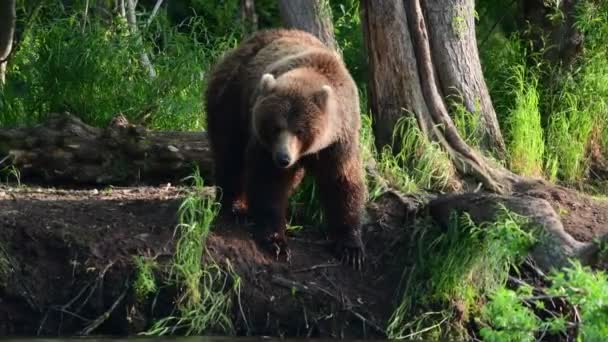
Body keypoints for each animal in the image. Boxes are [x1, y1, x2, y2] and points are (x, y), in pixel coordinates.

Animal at [204, 28, 366, 266]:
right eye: (275, 127)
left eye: (300, 130)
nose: (283, 158)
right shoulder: (264, 144)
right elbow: (267, 181)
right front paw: (276, 241)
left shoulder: (339, 141)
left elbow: (341, 181)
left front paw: (350, 247)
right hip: (232, 97)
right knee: (229, 152)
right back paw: (232, 205)